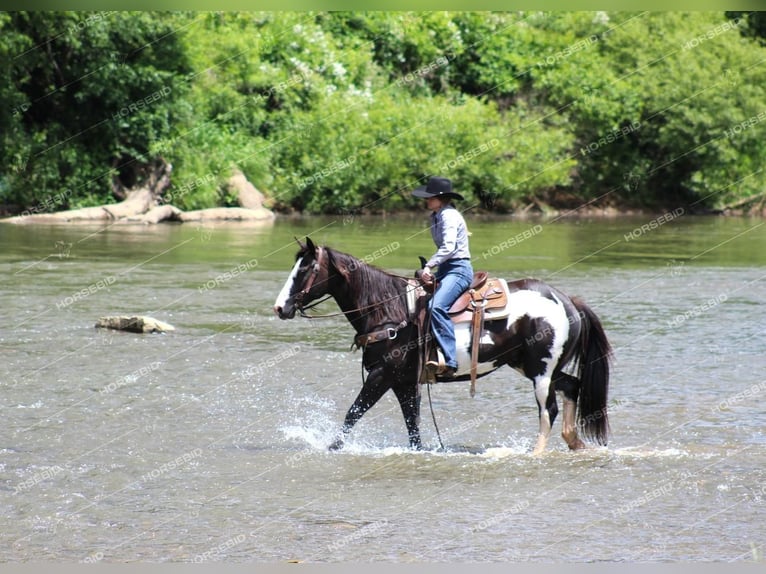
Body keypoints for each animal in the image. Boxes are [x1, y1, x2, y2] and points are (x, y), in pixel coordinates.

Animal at [272, 237, 616, 454]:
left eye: (306, 269)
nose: (280, 307)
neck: (390, 310)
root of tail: (567, 300)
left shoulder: (382, 375)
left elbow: (353, 413)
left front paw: (330, 447)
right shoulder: (404, 382)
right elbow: (412, 427)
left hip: (541, 373)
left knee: (549, 410)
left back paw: (536, 453)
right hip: (533, 366)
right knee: (572, 387)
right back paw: (575, 443)